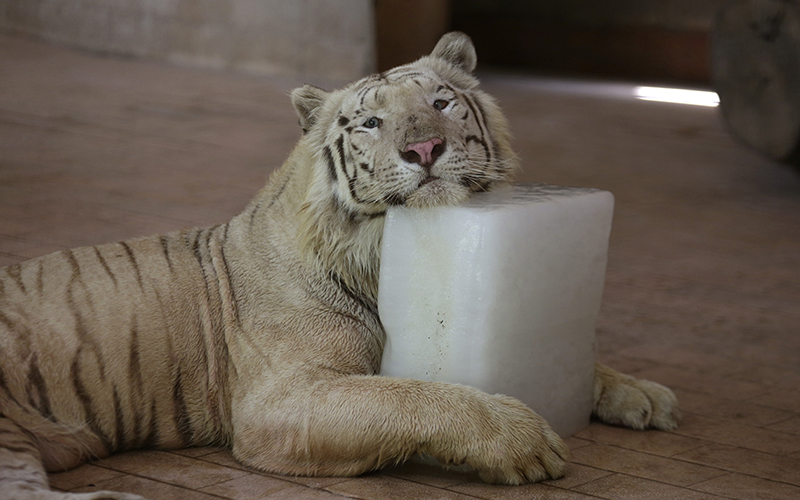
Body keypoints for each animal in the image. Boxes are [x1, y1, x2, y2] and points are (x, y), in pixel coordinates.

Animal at [0, 32, 680, 500]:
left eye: (442, 103)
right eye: (372, 122)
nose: (424, 149)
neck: (376, 254)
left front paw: (642, 395)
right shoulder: (279, 404)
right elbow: (411, 396)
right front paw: (524, 440)